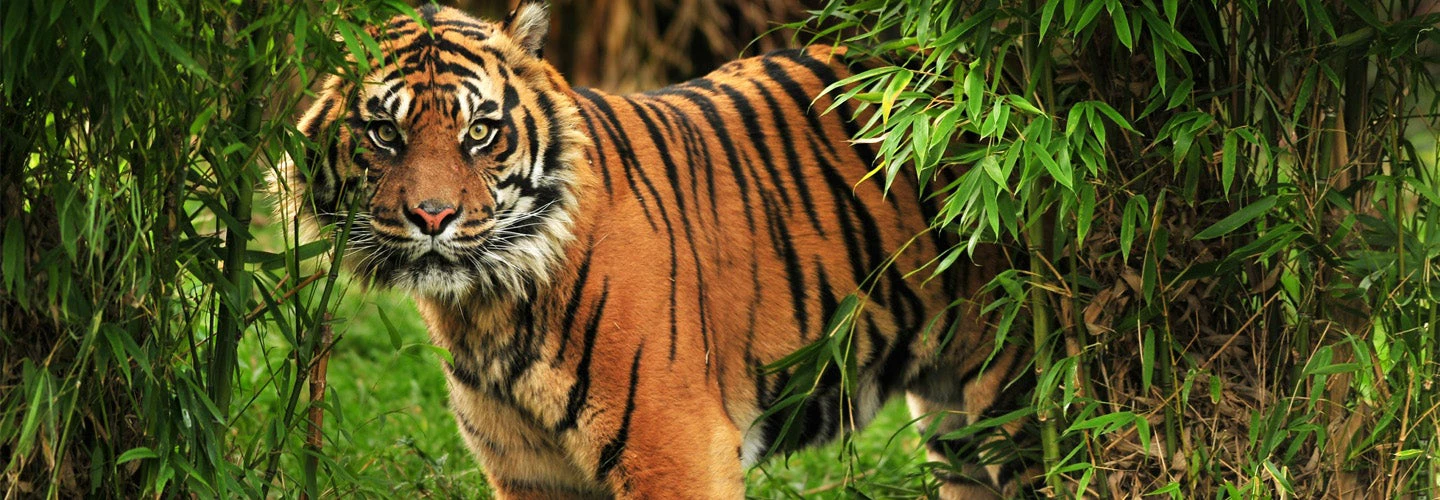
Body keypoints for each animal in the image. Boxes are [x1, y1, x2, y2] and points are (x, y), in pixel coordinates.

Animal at [270, 1, 1031, 498]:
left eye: (480, 132)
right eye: (384, 134)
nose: (433, 216)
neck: (488, 307)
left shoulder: (678, 449)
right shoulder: (529, 472)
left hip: (1018, 396)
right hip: (957, 433)